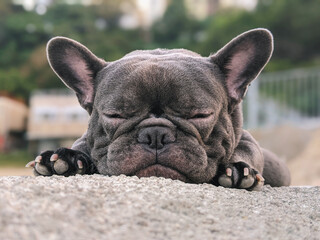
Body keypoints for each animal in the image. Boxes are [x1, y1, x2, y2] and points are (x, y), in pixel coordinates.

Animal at [26, 28, 290, 189]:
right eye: (114, 115)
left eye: (200, 115)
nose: (155, 135)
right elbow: (81, 145)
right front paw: (65, 159)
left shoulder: (246, 139)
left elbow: (247, 151)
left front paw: (236, 171)